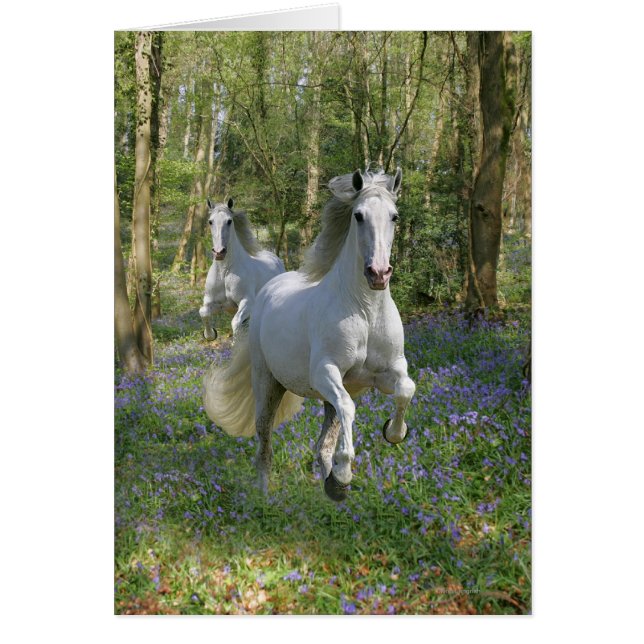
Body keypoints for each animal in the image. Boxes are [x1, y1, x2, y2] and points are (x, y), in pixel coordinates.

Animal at [199, 198, 284, 340]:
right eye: (210, 221)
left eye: (229, 221)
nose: (219, 252)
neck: (224, 272)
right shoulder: (213, 302)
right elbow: (203, 312)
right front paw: (210, 334)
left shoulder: (247, 302)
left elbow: (236, 324)